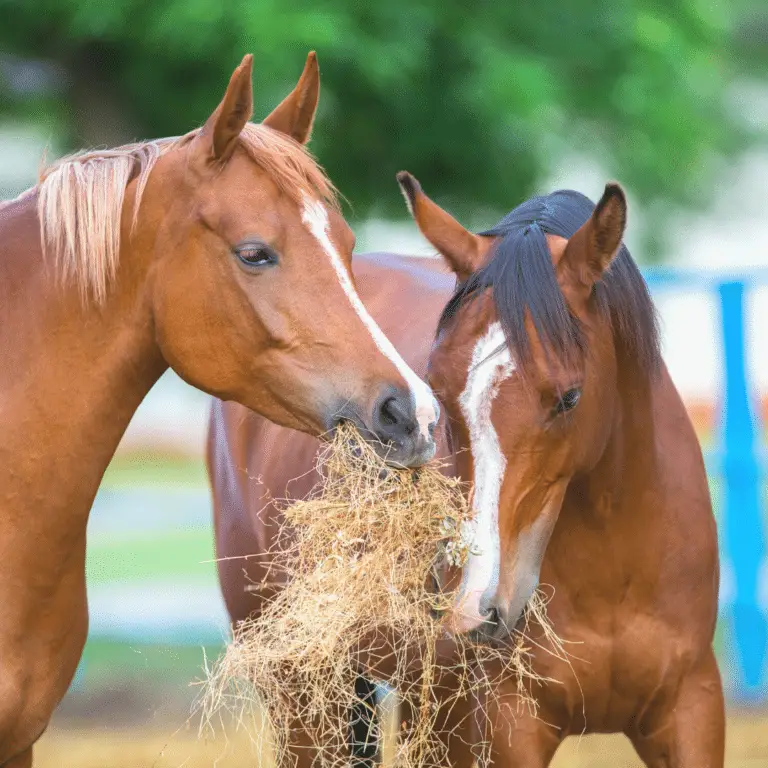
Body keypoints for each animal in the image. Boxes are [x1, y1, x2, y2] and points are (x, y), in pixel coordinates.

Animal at [208, 178, 720, 760]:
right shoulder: (506, 727)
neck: (615, 571)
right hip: (305, 698)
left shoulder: (691, 710)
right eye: (439, 389)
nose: (478, 606)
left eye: (569, 398)